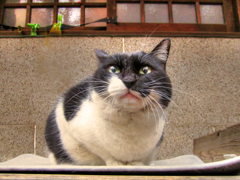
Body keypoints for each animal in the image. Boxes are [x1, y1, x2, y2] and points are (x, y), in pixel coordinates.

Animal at [45, 38, 172, 166]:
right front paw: (116, 163)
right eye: (113, 69)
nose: (129, 80)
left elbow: (139, 159)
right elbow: (103, 152)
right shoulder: (72, 124)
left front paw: (136, 164)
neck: (129, 125)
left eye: (145, 70)